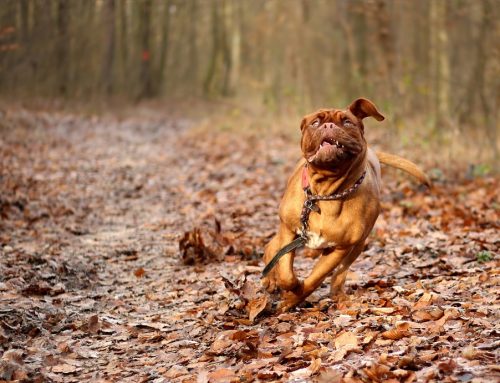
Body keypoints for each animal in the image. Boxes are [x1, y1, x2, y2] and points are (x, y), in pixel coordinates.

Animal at [262, 98, 430, 312]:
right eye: (315, 123)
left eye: (347, 122)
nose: (328, 125)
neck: (326, 192)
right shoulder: (289, 230)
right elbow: (285, 271)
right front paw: (288, 285)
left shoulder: (341, 248)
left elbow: (315, 278)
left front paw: (294, 296)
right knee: (273, 247)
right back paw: (270, 278)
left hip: (357, 246)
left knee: (340, 272)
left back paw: (337, 294)